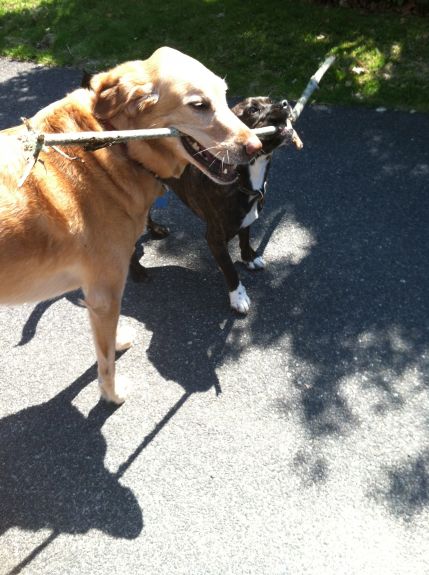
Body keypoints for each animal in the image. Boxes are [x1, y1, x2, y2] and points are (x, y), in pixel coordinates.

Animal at [0, 46, 260, 404]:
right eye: (199, 106)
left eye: (224, 95)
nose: (256, 147)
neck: (113, 142)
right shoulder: (105, 293)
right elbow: (106, 360)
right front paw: (111, 394)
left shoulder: (98, 295)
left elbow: (105, 342)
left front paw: (118, 340)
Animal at [132, 99, 302, 316]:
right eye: (253, 109)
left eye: (271, 101)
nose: (285, 103)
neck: (244, 178)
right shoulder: (215, 239)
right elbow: (230, 270)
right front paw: (238, 296)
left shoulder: (246, 219)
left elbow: (244, 239)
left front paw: (249, 257)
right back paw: (137, 271)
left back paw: (156, 229)